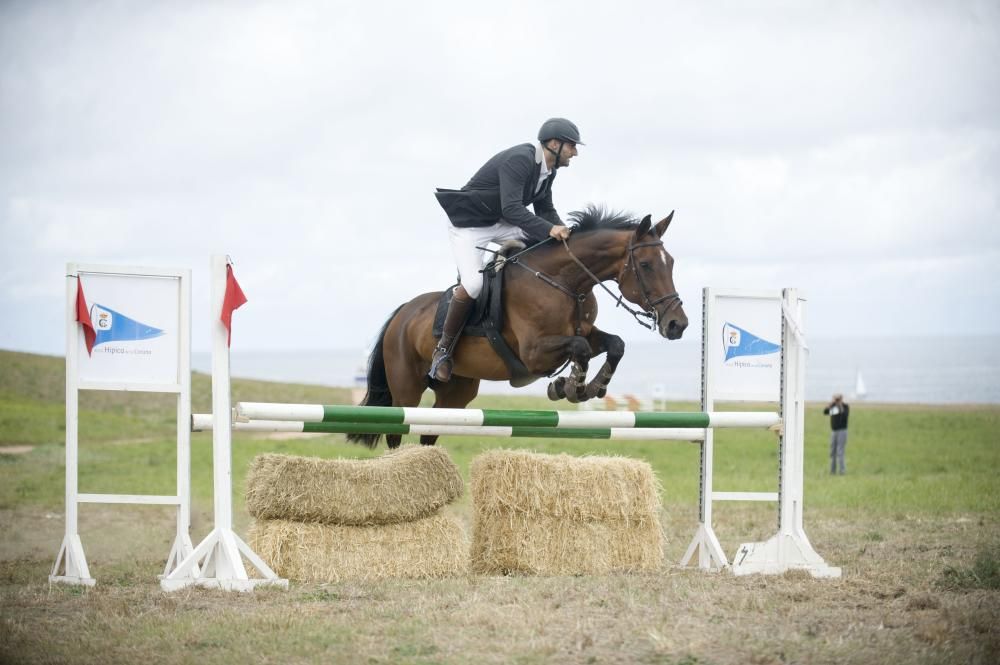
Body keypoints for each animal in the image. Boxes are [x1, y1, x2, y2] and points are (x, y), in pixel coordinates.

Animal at [352, 205, 688, 448]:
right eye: (645, 265)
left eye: (671, 262)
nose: (678, 325)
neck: (565, 283)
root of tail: (403, 312)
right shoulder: (534, 352)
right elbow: (579, 349)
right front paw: (570, 387)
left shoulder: (586, 334)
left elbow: (615, 344)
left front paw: (590, 387)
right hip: (406, 390)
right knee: (397, 431)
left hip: (456, 394)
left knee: (429, 431)